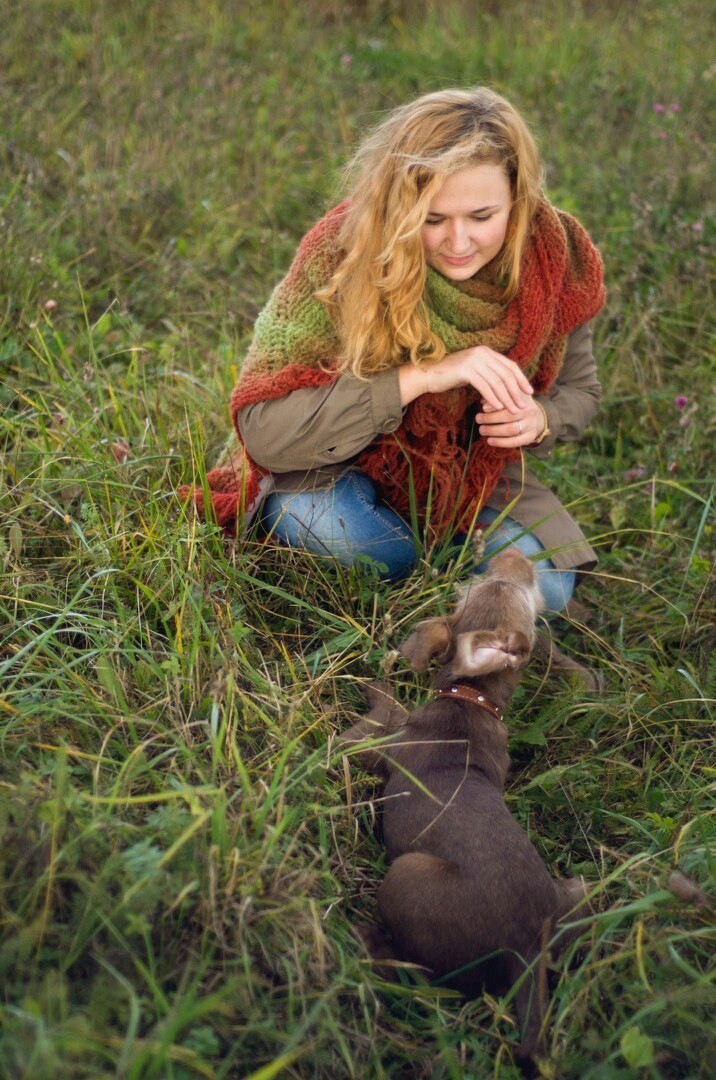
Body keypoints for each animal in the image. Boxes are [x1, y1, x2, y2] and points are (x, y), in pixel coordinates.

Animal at [345, 552, 587, 1058]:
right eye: (488, 579)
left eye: (516, 591)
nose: (514, 554)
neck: (471, 698)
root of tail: (525, 951)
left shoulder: (372, 745)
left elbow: (383, 709)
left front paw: (374, 676)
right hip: (578, 890)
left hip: (407, 873)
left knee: (426, 982)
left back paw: (368, 941)